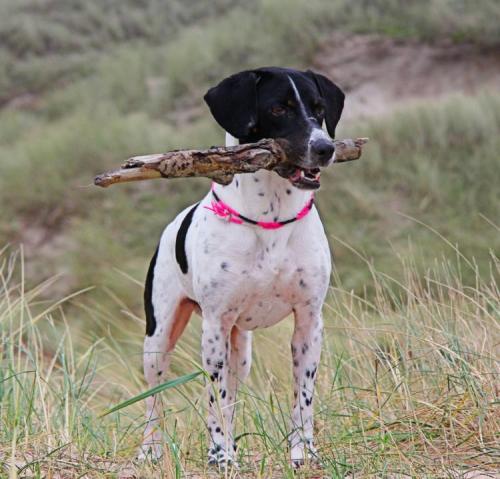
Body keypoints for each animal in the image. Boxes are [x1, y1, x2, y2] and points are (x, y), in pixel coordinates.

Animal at [140, 65, 344, 466]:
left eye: (319, 108)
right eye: (278, 108)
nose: (325, 148)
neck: (271, 220)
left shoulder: (309, 322)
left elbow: (303, 398)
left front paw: (303, 451)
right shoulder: (215, 326)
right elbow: (213, 401)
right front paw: (220, 457)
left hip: (241, 352)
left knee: (233, 394)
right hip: (158, 338)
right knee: (155, 399)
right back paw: (151, 450)